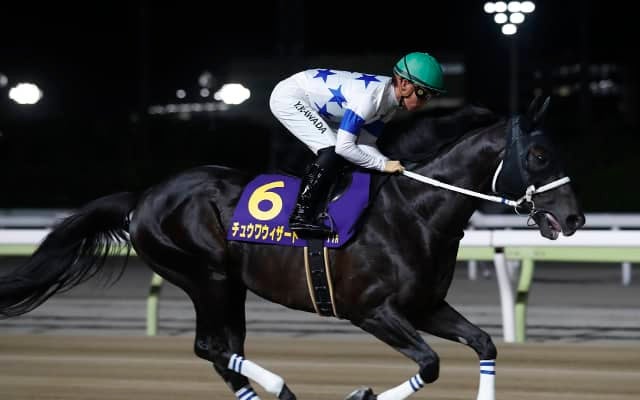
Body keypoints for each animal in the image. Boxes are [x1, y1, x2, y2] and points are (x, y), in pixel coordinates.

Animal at [0, 95, 585, 400]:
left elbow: (484, 344)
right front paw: (361, 394)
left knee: (222, 354)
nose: (575, 217)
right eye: (538, 155)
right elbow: (432, 362)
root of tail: (143, 196)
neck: (415, 211)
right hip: (205, 276)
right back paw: (280, 385)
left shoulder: (426, 305)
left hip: (229, 287)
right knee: (210, 347)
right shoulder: (371, 311)